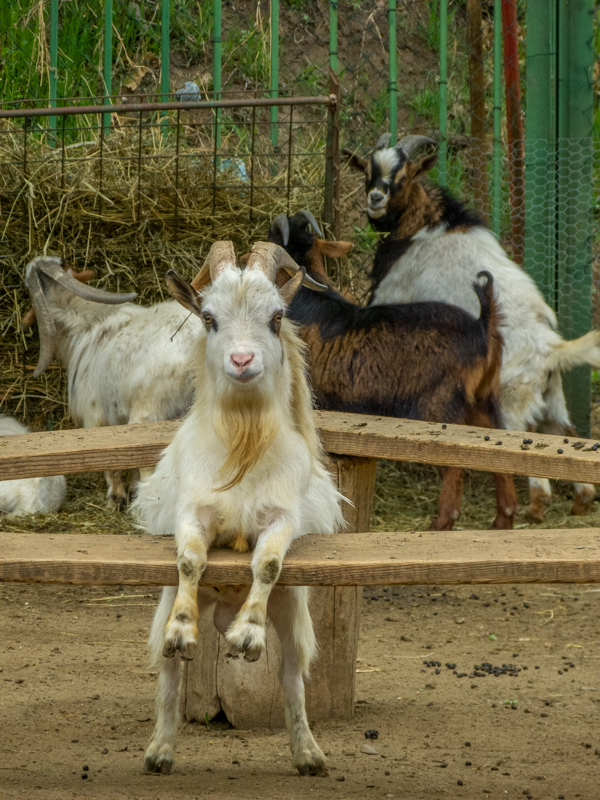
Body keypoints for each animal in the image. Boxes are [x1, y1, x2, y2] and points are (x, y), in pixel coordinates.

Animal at [132, 241, 343, 777]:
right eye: (208, 317)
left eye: (276, 316)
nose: (242, 359)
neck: (242, 444)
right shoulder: (193, 511)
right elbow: (190, 559)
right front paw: (183, 631)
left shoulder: (282, 517)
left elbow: (266, 563)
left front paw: (247, 636)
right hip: (168, 604)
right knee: (169, 676)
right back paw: (159, 752)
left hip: (293, 612)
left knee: (291, 677)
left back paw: (308, 754)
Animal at [265, 210, 518, 531]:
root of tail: (482, 325)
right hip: (483, 400)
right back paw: (503, 518)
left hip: (441, 405)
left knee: (454, 461)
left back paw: (441, 523)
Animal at [345, 135, 600, 521]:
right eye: (368, 173)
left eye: (401, 178)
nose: (376, 198)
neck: (429, 225)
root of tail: (550, 349)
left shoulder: (392, 292)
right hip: (552, 396)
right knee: (564, 435)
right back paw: (580, 502)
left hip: (510, 404)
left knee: (533, 470)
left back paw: (533, 510)